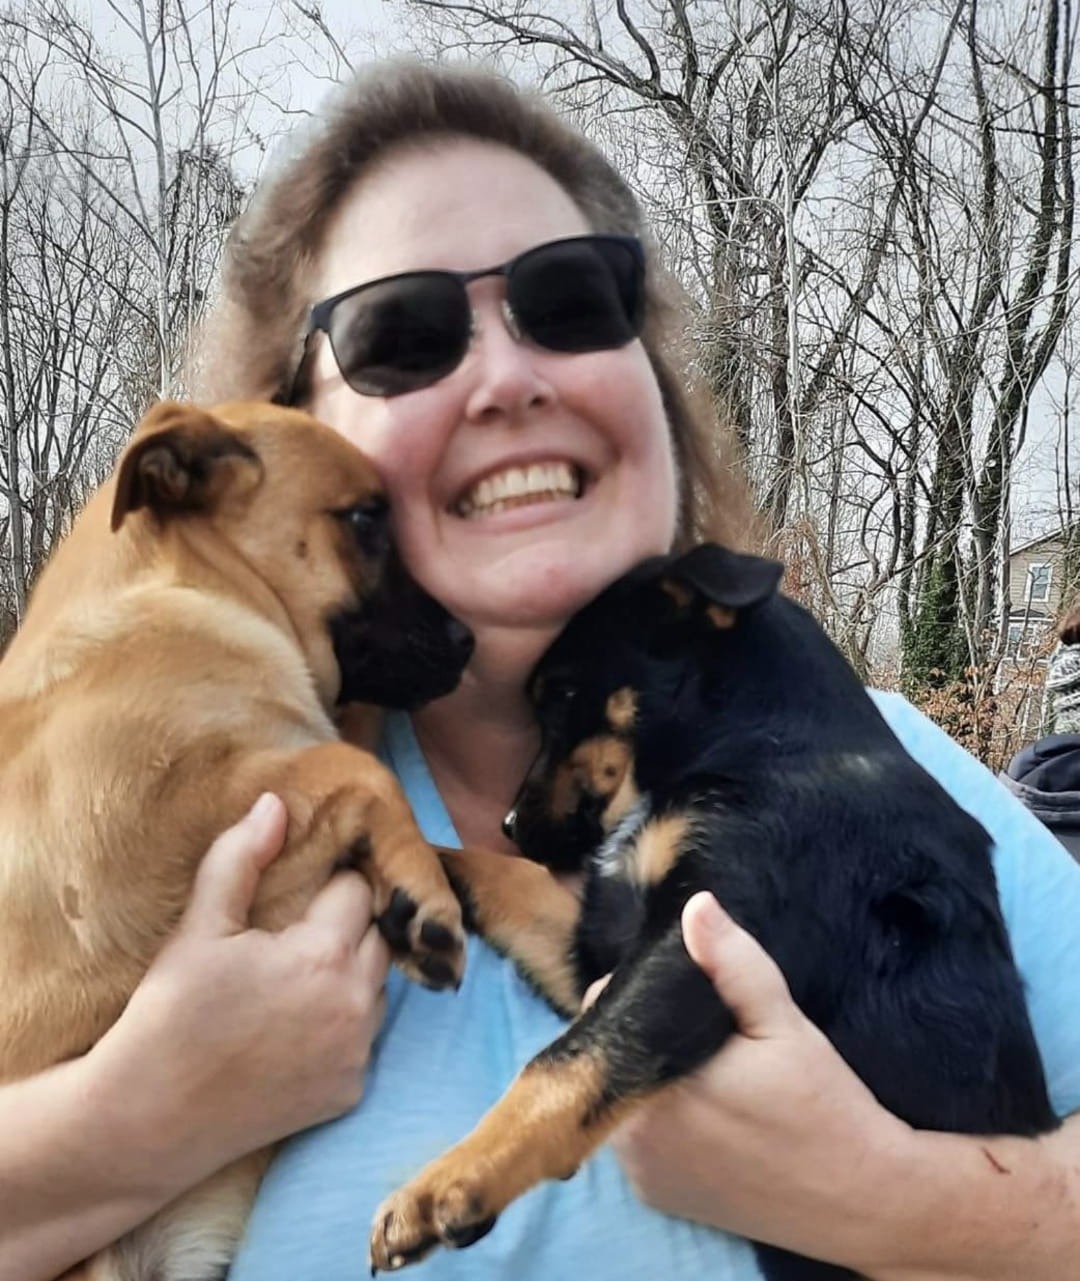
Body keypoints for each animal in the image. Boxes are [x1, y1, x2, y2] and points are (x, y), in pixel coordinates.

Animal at [0, 400, 476, 1281]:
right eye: (367, 520)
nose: (469, 640)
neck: (186, 592)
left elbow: (345, 754)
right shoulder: (143, 837)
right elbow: (349, 762)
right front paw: (423, 898)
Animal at [370, 543, 1058, 1280]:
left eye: (562, 695)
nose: (510, 824)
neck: (769, 746)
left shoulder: (700, 935)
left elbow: (567, 1060)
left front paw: (445, 1184)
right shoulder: (597, 945)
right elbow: (492, 873)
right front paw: (396, 861)